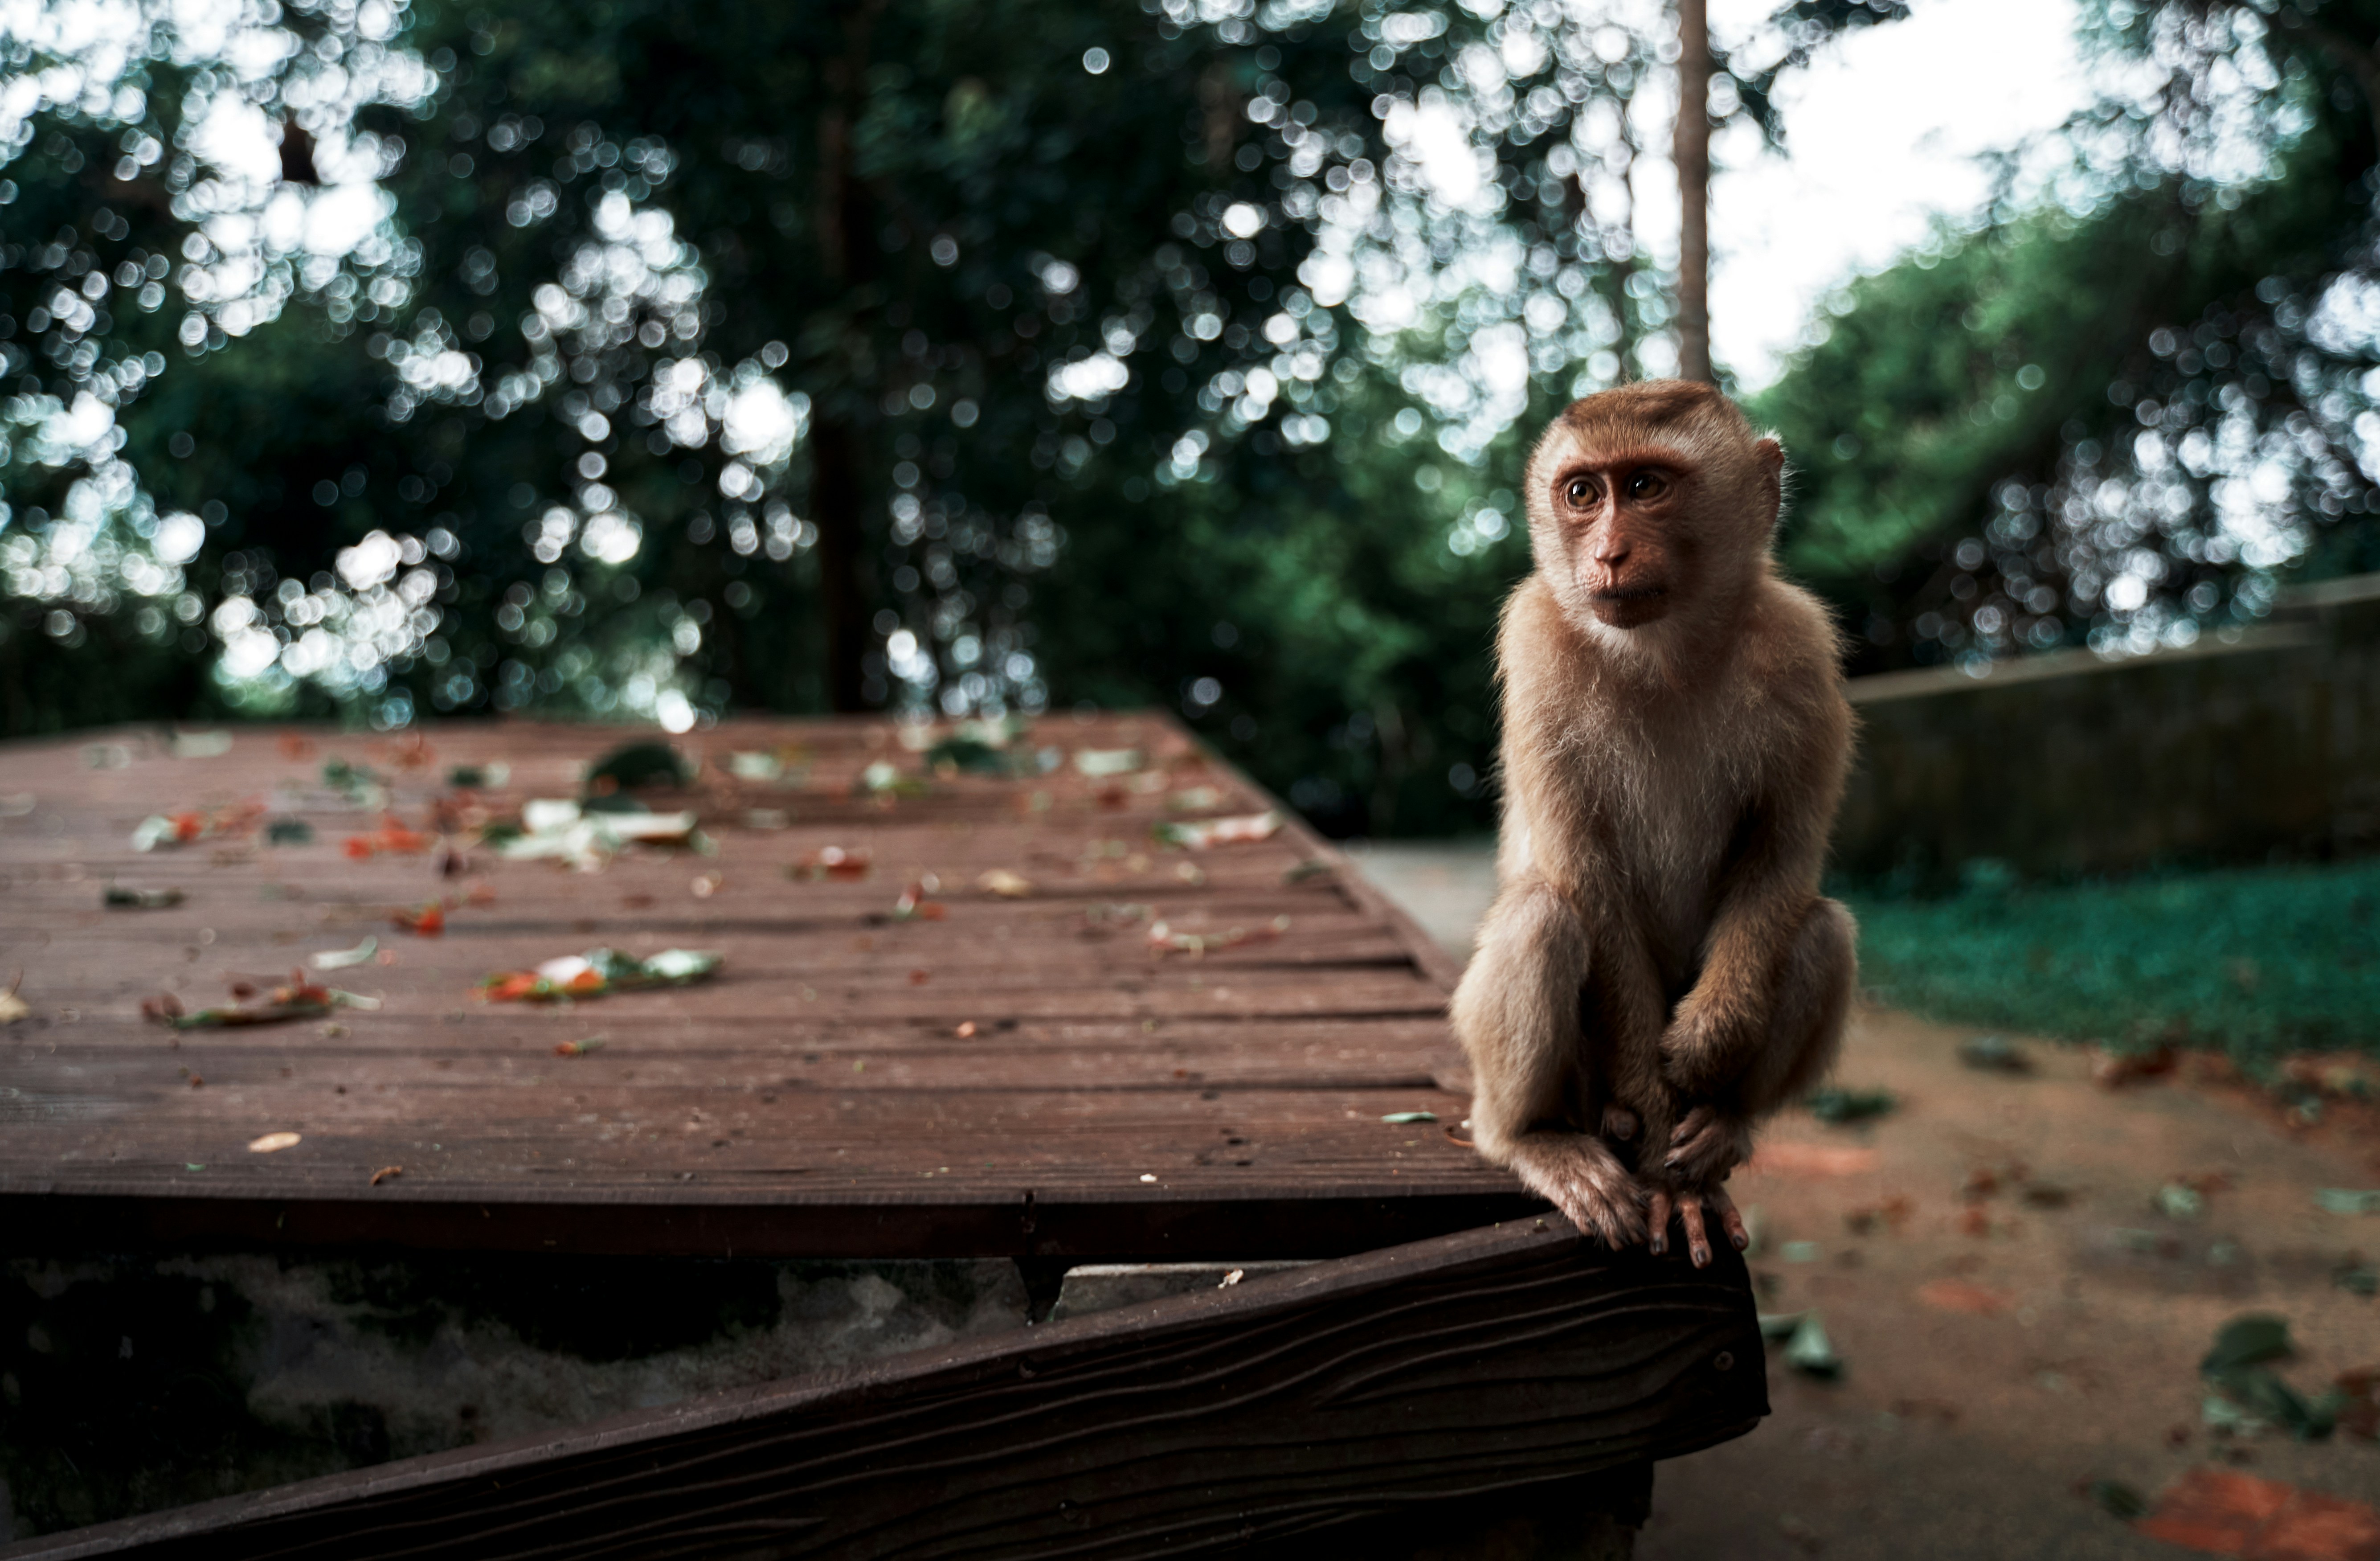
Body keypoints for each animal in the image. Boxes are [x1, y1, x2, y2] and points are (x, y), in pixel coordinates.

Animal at [1449, 379, 1856, 1268]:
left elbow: (1781, 859)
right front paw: (1657, 1135)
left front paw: (1703, 1046)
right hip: (1579, 1089)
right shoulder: (1535, 641)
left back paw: (1726, 1126)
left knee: (1819, 929)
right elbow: (1584, 875)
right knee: (1542, 915)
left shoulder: (1801, 649)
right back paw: (1532, 1138)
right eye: (1581, 493)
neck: (1665, 650)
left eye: (1643, 486)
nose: (1606, 555)